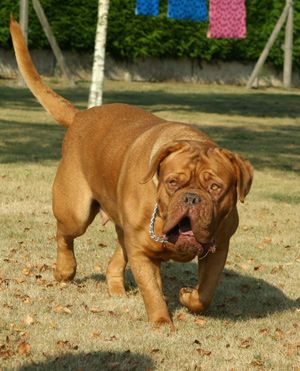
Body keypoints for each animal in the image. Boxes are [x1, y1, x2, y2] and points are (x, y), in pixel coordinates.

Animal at [10, 16, 252, 326]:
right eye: (173, 182)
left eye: (215, 187)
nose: (191, 198)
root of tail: (80, 115)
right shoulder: (141, 251)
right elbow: (152, 291)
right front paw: (162, 323)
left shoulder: (219, 248)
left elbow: (205, 293)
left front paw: (188, 297)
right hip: (75, 211)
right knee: (65, 234)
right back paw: (65, 270)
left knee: (115, 257)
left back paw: (115, 287)